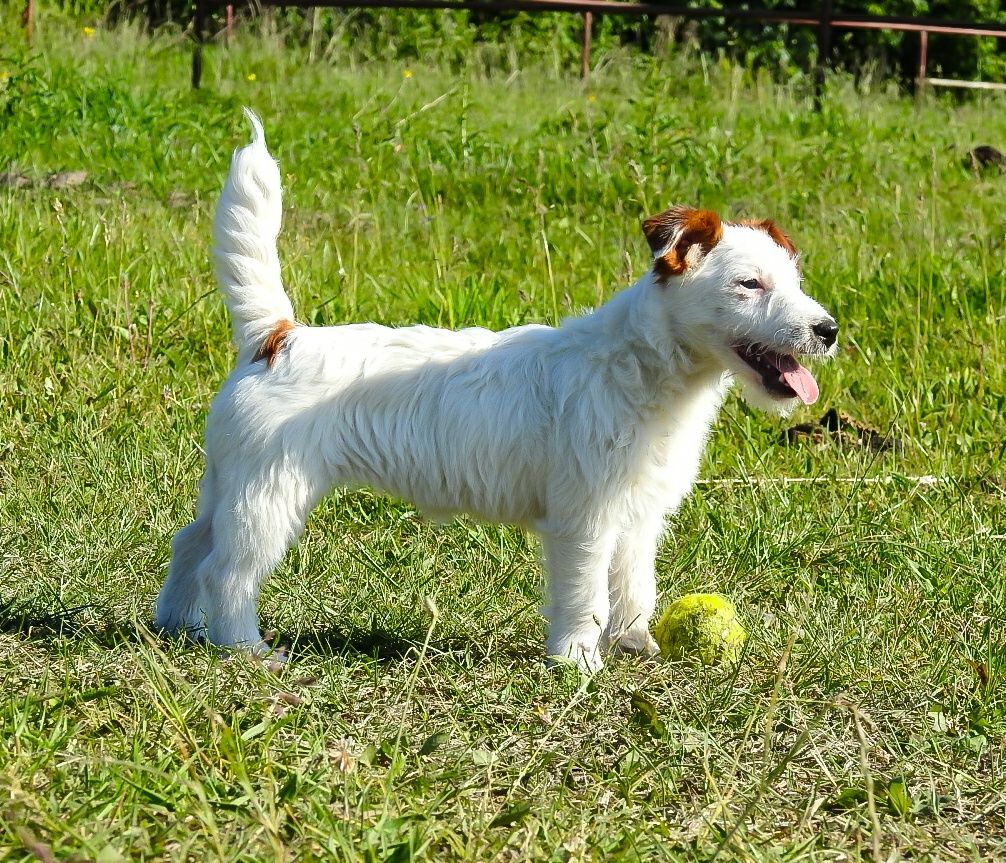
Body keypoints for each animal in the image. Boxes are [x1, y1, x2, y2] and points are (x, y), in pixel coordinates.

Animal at [152, 109, 836, 671]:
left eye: (795, 281)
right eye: (749, 284)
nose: (827, 330)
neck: (642, 365)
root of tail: (276, 338)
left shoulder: (638, 517)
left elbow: (633, 587)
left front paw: (638, 645)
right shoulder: (585, 519)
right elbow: (585, 593)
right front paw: (578, 663)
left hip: (230, 484)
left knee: (191, 545)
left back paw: (178, 626)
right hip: (268, 497)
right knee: (228, 571)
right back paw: (244, 647)